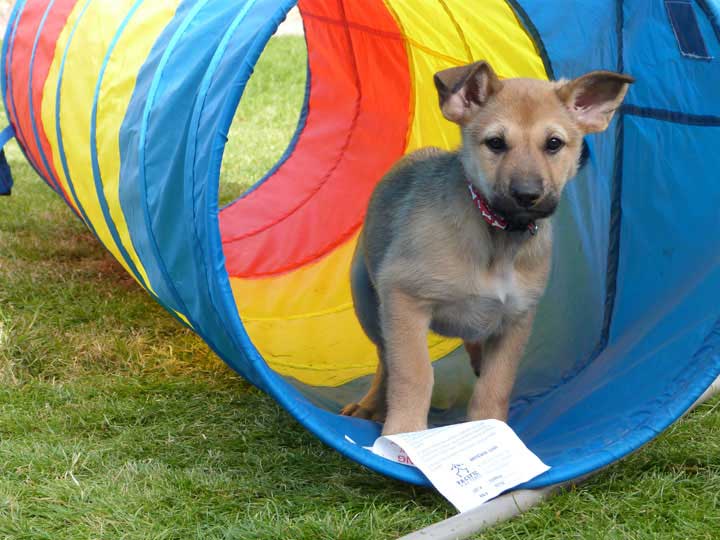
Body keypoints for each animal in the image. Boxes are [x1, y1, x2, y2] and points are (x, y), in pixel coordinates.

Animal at [340, 61, 632, 436]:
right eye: (495, 143)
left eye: (554, 144)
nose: (527, 195)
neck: (498, 239)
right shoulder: (404, 297)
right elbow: (413, 372)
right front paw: (404, 431)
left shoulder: (516, 320)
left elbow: (496, 384)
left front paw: (490, 428)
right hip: (367, 304)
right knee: (384, 359)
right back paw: (370, 405)